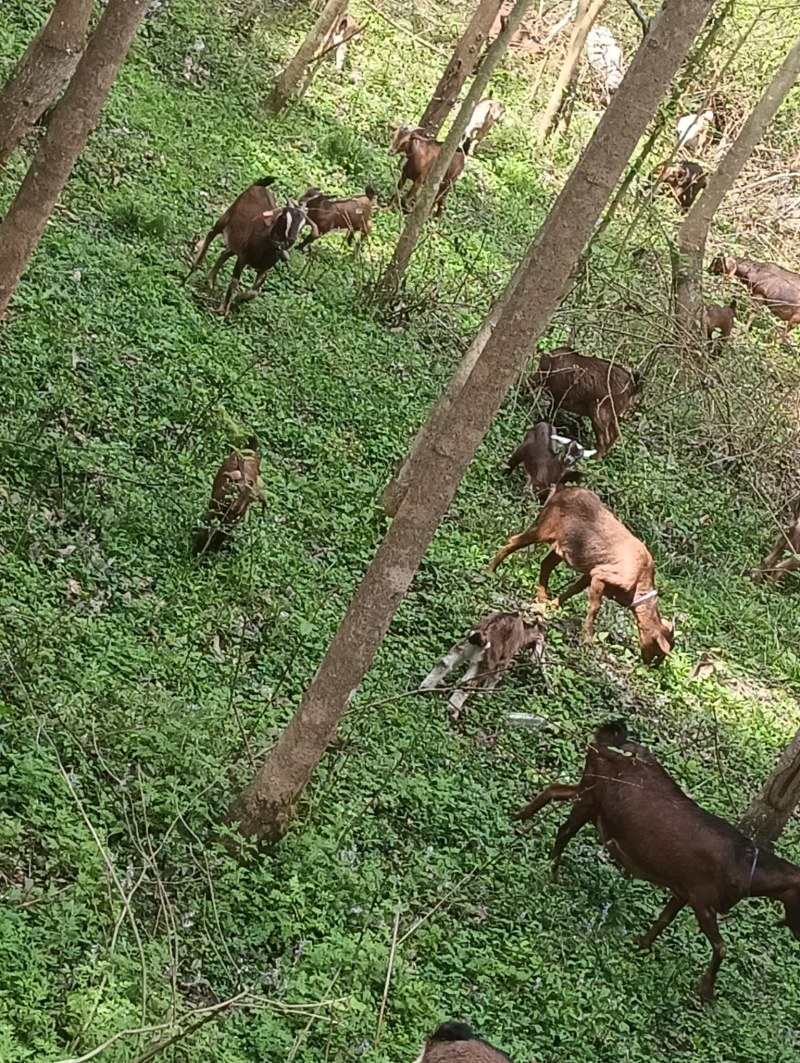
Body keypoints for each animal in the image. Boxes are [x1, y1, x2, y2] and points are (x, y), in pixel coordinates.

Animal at [183, 174, 308, 312]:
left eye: (303, 224)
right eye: (284, 217)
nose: (291, 240)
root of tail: (259, 185)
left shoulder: (264, 267)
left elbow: (254, 292)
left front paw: (239, 298)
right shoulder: (243, 258)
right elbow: (234, 281)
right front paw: (224, 309)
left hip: (237, 241)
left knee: (225, 253)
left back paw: (210, 281)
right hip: (226, 217)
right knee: (211, 234)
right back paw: (194, 266)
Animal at [486, 486, 675, 663]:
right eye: (659, 653)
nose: (652, 666)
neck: (639, 585)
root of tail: (562, 489)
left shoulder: (591, 572)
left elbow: (574, 589)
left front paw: (553, 606)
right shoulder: (601, 575)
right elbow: (594, 607)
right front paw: (587, 640)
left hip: (563, 545)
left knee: (546, 563)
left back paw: (542, 598)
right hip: (543, 527)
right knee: (513, 541)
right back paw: (490, 571)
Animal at [514, 718, 798, 999]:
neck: (744, 865)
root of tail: (605, 742)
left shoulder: (682, 890)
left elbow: (664, 919)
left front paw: (642, 945)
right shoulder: (702, 899)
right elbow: (721, 947)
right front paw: (706, 993)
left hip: (588, 788)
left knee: (554, 789)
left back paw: (519, 819)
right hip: (592, 795)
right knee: (564, 831)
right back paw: (551, 873)